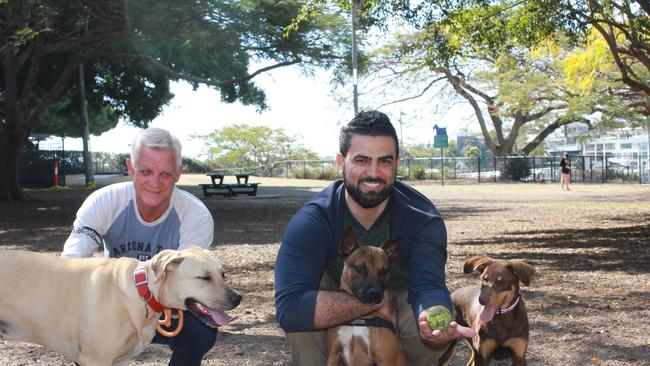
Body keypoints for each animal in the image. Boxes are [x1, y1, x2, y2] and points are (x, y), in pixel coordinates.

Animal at [0, 246, 240, 366]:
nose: (237, 298)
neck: (142, 291)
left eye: (223, 274)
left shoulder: (121, 360)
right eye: (204, 278)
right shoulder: (95, 360)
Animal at [324, 229, 404, 366]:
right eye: (360, 268)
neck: (359, 318)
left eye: (383, 271)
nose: (375, 293)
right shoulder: (333, 355)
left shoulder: (386, 359)